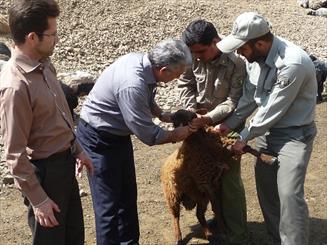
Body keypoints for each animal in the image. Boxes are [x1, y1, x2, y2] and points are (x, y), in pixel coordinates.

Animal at [161, 109, 238, 245]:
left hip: (201, 196)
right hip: (172, 195)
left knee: (199, 215)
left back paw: (209, 235)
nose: (194, 116)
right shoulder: (206, 182)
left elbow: (218, 206)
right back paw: (178, 238)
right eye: (177, 120)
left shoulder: (214, 183)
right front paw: (224, 231)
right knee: (175, 216)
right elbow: (216, 208)